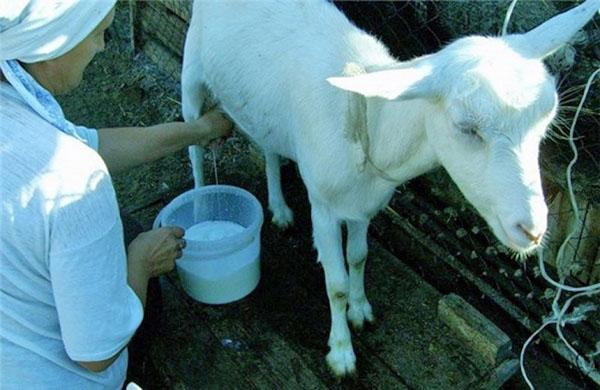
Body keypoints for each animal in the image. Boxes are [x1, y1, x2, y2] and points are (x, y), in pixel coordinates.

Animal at [183, 0, 600, 378]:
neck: (370, 119)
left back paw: (281, 209)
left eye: (546, 119)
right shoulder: (324, 206)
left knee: (267, 145)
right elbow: (335, 283)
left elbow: (358, 257)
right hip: (192, 70)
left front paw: (360, 310)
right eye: (465, 127)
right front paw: (341, 353)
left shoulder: (365, 203)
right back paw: (202, 210)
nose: (532, 230)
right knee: (194, 148)